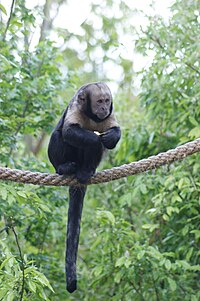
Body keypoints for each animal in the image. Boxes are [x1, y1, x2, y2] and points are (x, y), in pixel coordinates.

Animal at [47, 81, 121, 290]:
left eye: (107, 101)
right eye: (99, 101)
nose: (103, 108)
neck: (92, 117)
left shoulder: (110, 114)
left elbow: (112, 137)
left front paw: (110, 137)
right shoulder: (76, 106)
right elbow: (69, 131)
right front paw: (95, 139)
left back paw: (86, 171)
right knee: (60, 135)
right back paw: (65, 168)